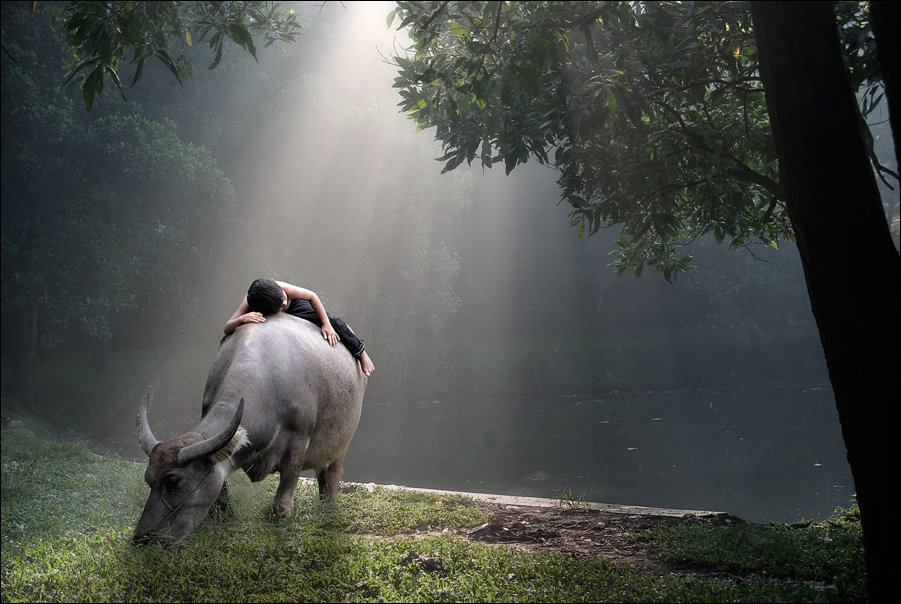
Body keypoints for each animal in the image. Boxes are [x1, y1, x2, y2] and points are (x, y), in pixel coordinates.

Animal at [132, 314, 364, 544]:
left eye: (173, 481)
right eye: (148, 478)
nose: (142, 537)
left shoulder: (299, 441)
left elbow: (282, 506)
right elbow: (220, 497)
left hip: (340, 446)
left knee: (331, 475)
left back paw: (329, 509)